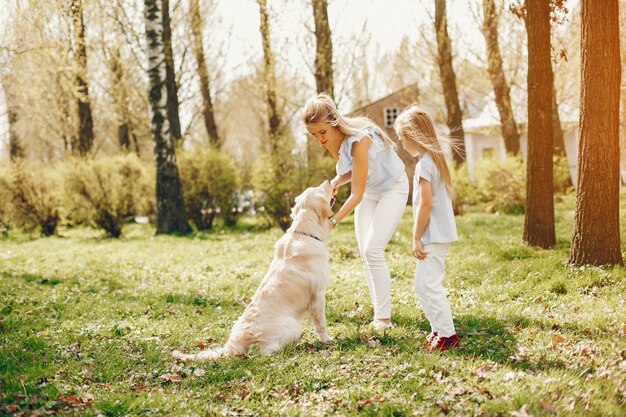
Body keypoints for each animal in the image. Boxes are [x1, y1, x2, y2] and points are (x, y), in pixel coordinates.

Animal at [171, 180, 334, 360]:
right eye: (320, 189)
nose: (328, 181)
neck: (304, 233)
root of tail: (232, 345)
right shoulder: (318, 294)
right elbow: (321, 323)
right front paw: (326, 339)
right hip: (290, 325)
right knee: (266, 351)